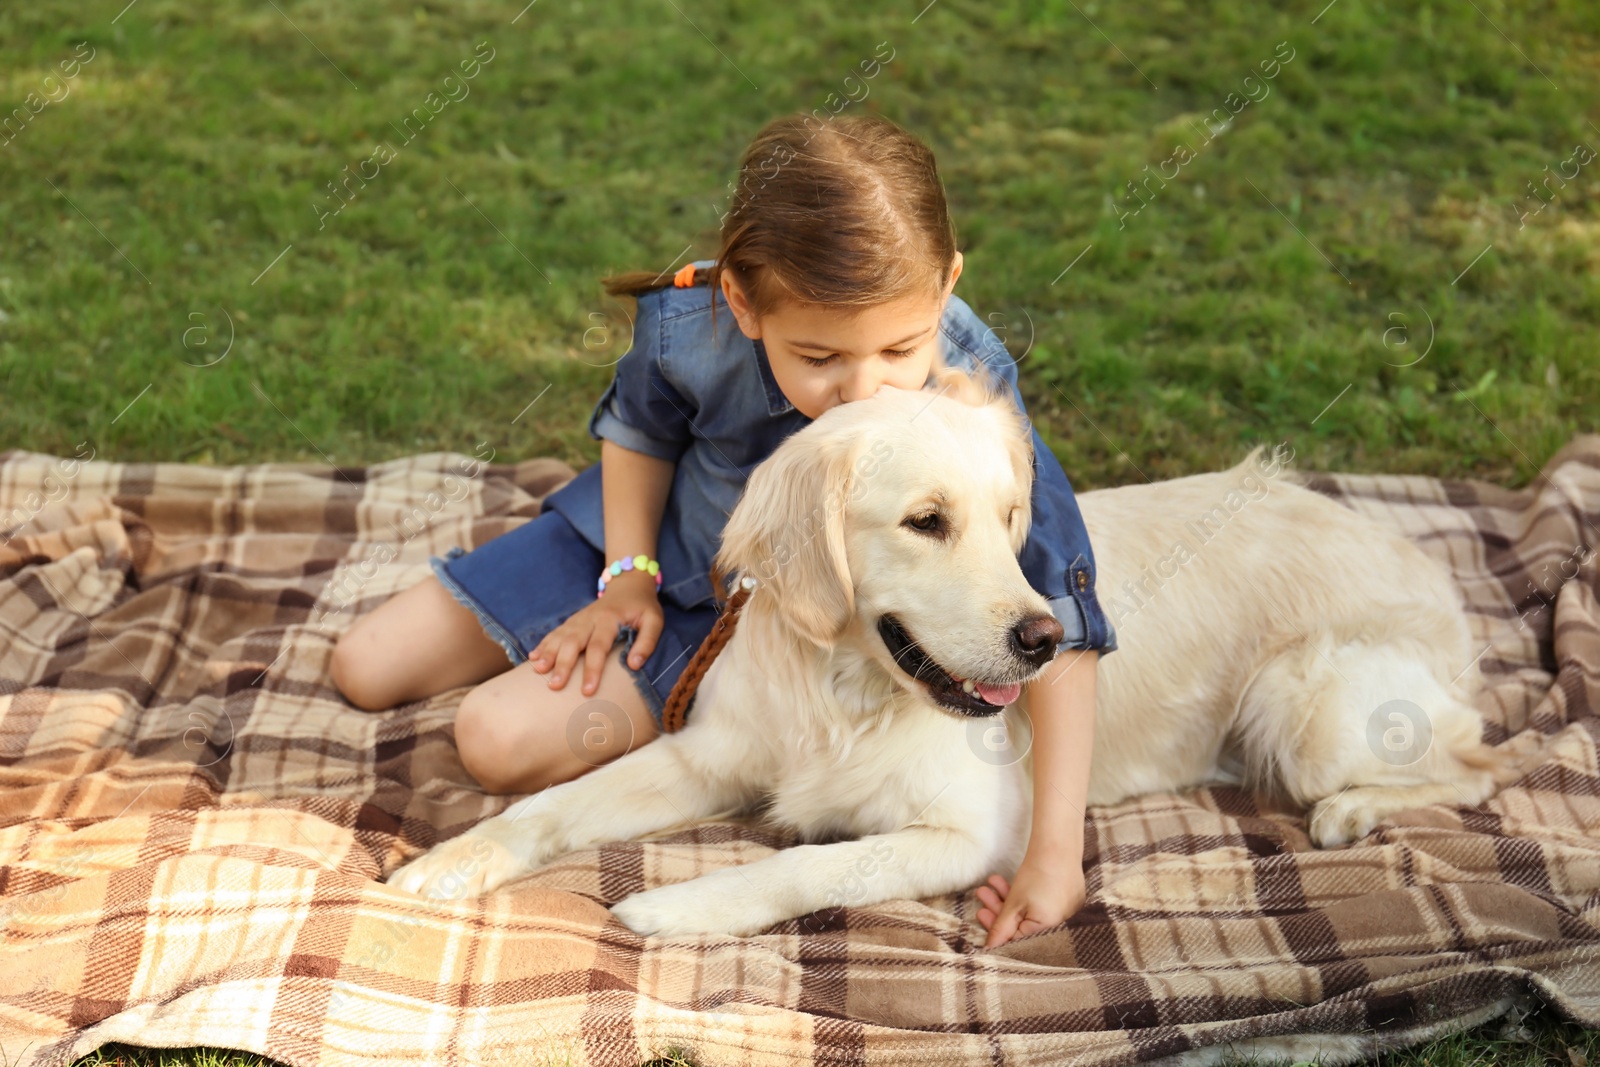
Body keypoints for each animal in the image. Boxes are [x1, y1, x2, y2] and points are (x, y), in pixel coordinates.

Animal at [387, 371, 1523, 940]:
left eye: (1013, 516)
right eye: (925, 521)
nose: (1046, 639)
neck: (847, 688)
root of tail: (1415, 551)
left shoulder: (973, 832)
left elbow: (808, 859)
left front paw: (678, 907)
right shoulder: (707, 753)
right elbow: (551, 804)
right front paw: (451, 861)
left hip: (1306, 705)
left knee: (1483, 764)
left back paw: (1353, 811)